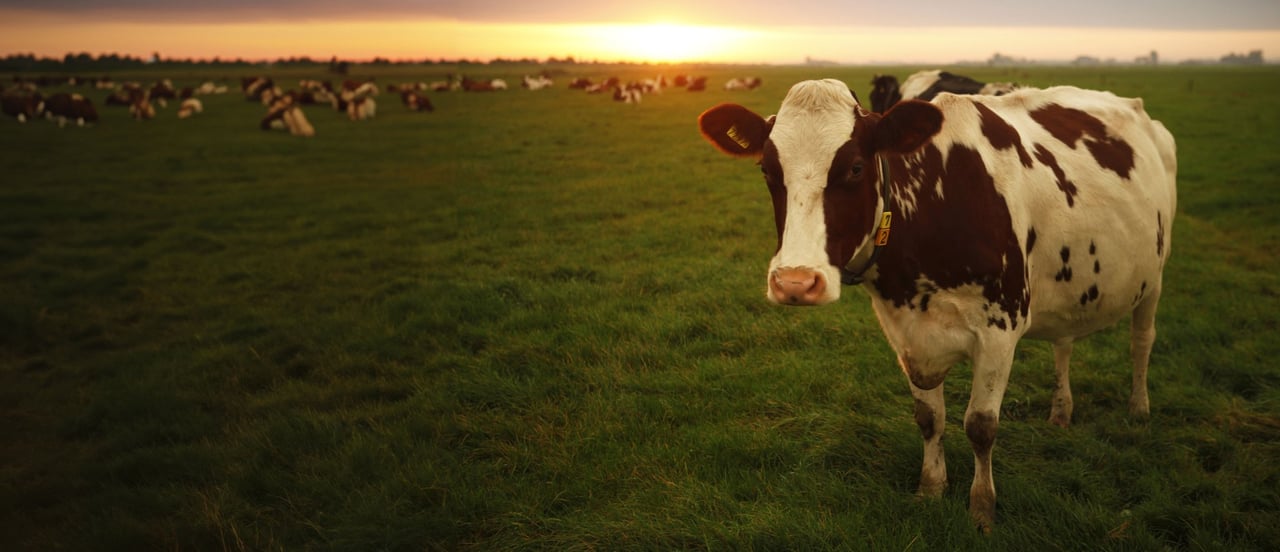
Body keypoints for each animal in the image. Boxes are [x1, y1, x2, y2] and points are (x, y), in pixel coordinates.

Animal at [701, 78, 1177, 532]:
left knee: (1142, 341)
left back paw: (1138, 408)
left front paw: (982, 509)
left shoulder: (1001, 328)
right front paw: (930, 488)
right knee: (1064, 343)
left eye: (855, 167)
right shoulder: (905, 332)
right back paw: (1061, 411)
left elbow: (980, 426)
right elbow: (928, 417)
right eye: (767, 169)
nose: (795, 282)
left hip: (1154, 279)